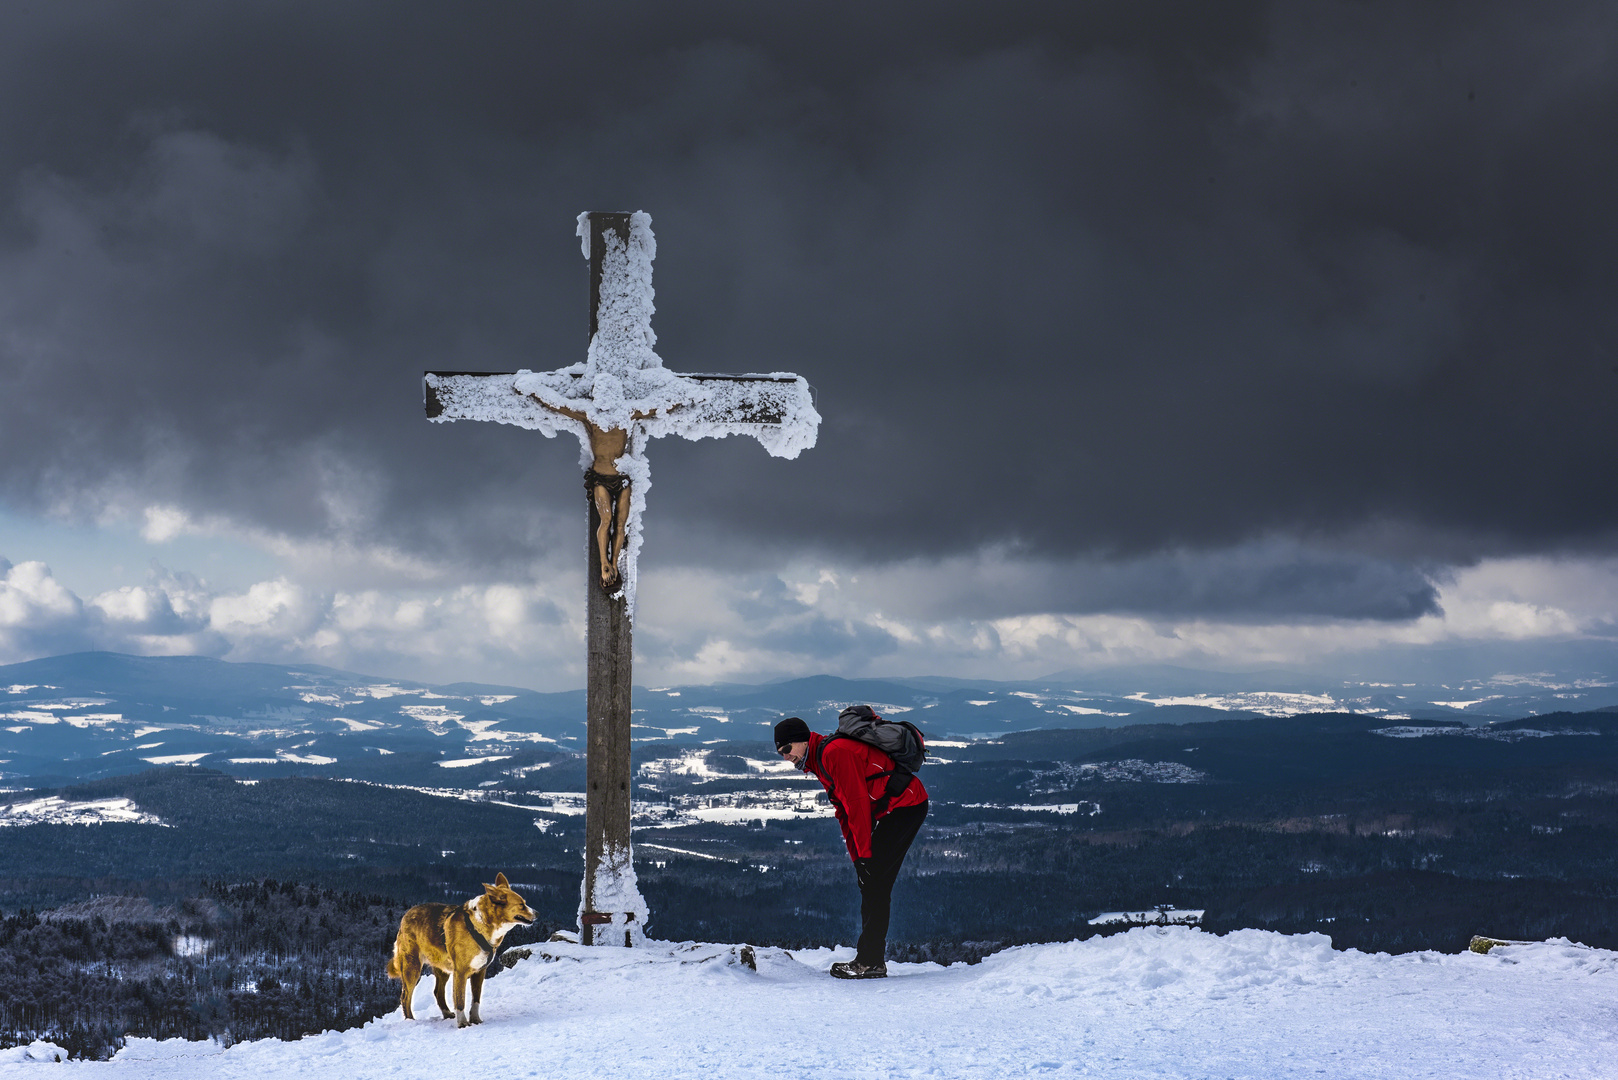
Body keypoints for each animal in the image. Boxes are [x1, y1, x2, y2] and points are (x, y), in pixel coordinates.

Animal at [385, 867, 537, 1029]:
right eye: (521, 905)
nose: (537, 914)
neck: (481, 924)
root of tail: (406, 915)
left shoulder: (480, 971)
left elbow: (476, 999)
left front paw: (475, 1020)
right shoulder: (461, 972)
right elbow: (460, 1000)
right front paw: (463, 1023)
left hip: (441, 968)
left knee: (438, 992)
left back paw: (446, 1014)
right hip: (412, 967)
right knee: (405, 996)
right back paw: (410, 1020)